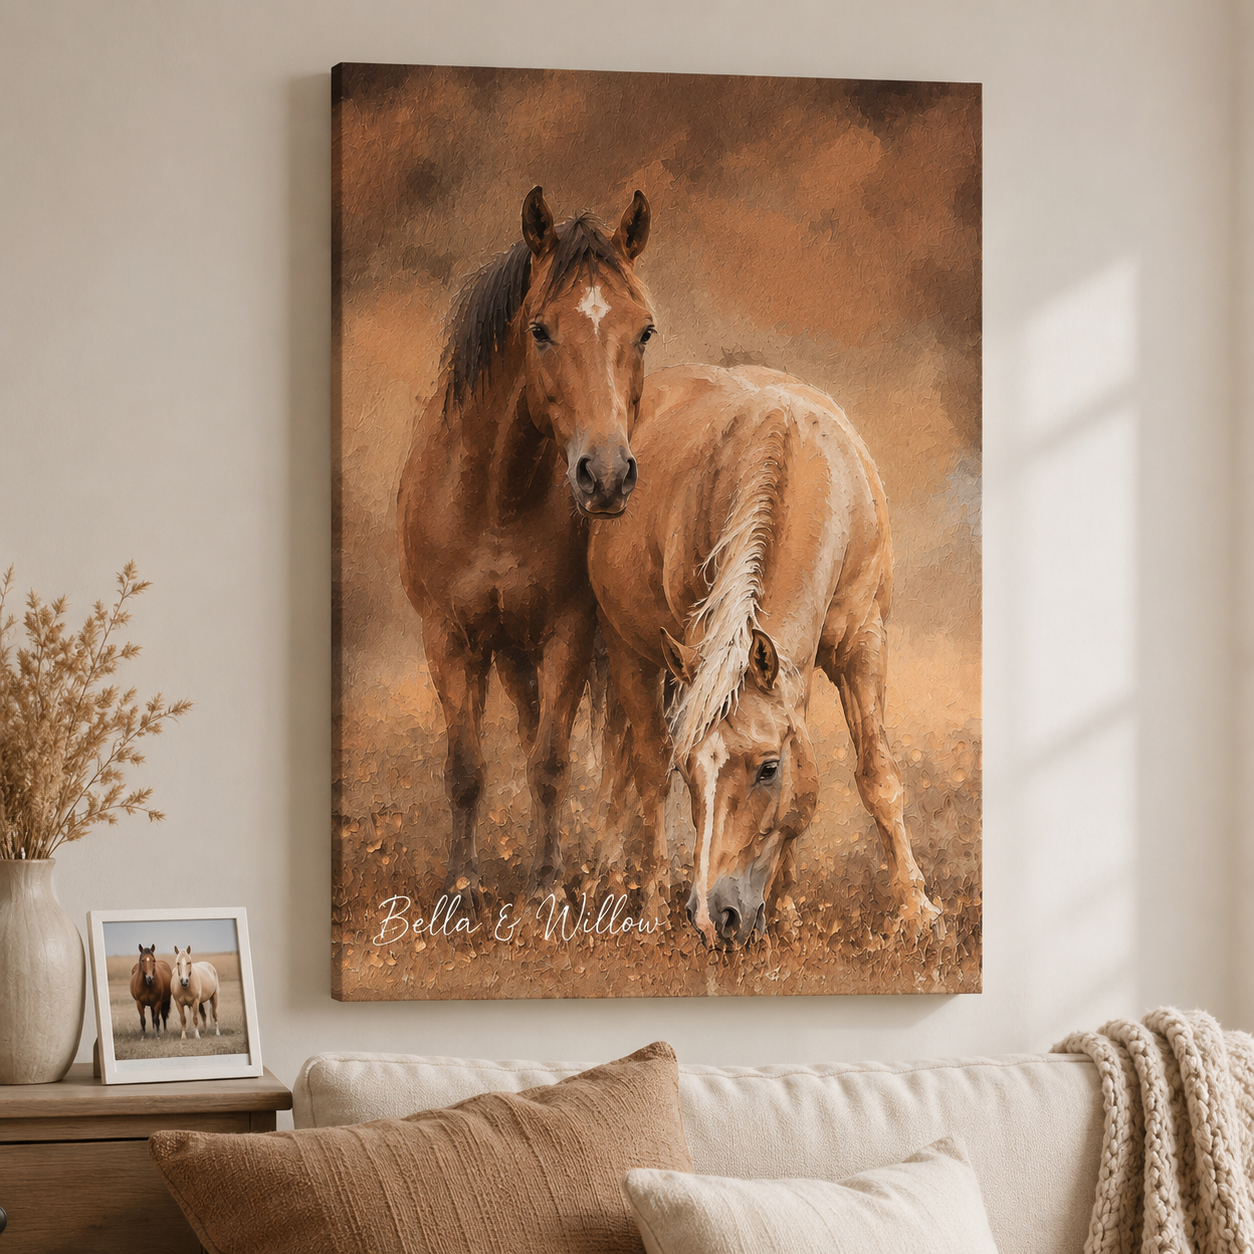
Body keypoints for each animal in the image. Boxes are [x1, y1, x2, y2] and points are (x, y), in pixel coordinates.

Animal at [397, 185, 655, 912]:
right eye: (539, 329)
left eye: (644, 330)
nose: (605, 476)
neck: (496, 500)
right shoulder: (449, 638)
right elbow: (465, 767)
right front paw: (462, 886)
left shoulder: (569, 633)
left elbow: (550, 762)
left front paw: (547, 886)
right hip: (510, 651)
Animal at [587, 364, 942, 948]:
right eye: (690, 771)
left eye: (768, 769)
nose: (713, 917)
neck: (805, 469)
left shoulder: (861, 644)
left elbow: (876, 776)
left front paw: (916, 912)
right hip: (629, 652)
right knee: (645, 770)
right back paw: (647, 903)